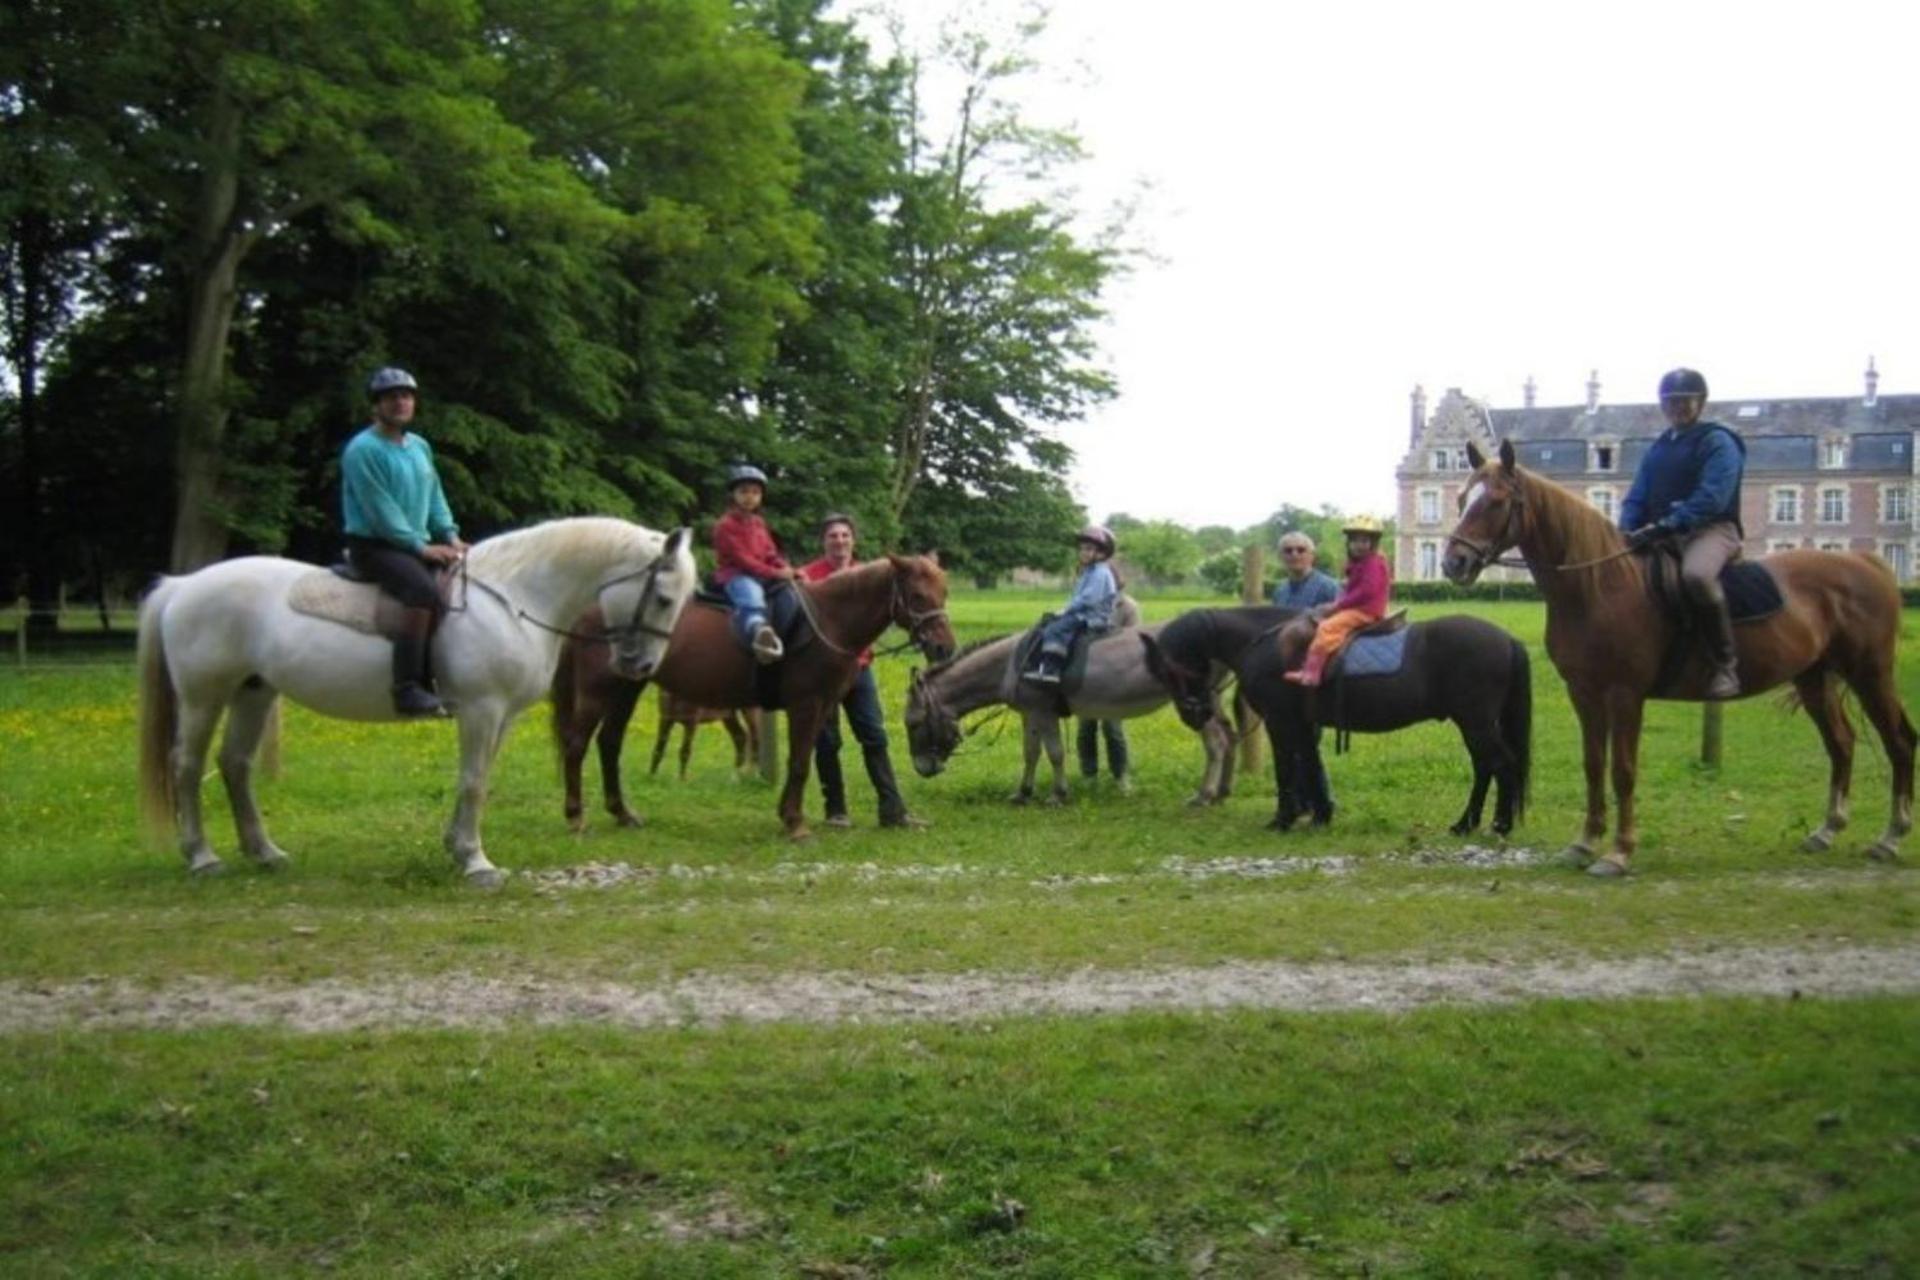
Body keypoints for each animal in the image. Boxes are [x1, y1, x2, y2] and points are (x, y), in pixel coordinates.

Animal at [137, 518, 698, 886]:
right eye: (664, 598)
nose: (641, 667)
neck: (513, 598)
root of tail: (184, 585)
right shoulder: (480, 709)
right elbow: (473, 782)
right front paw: (476, 862)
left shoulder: (501, 717)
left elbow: (478, 781)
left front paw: (458, 848)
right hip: (203, 697)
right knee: (187, 767)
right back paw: (202, 857)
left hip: (253, 692)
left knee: (235, 765)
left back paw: (264, 853)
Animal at [551, 555, 954, 838]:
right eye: (917, 595)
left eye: (944, 593)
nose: (944, 648)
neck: (829, 619)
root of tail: (588, 611)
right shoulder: (806, 705)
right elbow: (800, 762)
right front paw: (795, 824)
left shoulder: (823, 705)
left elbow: (803, 759)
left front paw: (788, 816)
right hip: (598, 690)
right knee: (577, 746)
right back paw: (575, 817)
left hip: (627, 688)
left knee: (609, 743)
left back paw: (622, 813)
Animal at [903, 623, 1249, 806]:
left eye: (914, 723)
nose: (921, 769)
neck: (1013, 663)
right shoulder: (1031, 714)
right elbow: (1031, 753)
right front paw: (1022, 793)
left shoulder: (1044, 712)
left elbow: (1054, 753)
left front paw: (1058, 795)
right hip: (1211, 699)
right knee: (1230, 736)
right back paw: (1222, 792)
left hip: (1194, 704)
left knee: (1216, 742)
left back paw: (1203, 796)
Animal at [1142, 606, 1531, 835]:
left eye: (1167, 670)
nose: (1195, 715)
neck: (1267, 643)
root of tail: (1506, 638)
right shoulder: (1303, 725)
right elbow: (1311, 765)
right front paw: (1319, 815)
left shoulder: (1281, 723)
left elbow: (1287, 769)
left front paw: (1283, 819)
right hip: (1475, 725)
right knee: (1486, 767)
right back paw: (1468, 824)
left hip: (1475, 723)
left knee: (1500, 765)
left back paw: (1498, 824)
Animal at [1443, 438, 1915, 874]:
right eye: (1463, 499)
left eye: (1497, 501)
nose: (1454, 563)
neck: (1600, 585)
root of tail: (1868, 564)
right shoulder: (1585, 693)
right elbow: (1593, 765)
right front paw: (1584, 843)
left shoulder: (1625, 694)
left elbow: (1623, 770)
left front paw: (1619, 852)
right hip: (1815, 678)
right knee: (1842, 743)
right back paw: (1827, 830)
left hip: (1870, 674)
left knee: (1899, 741)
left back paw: (1891, 837)